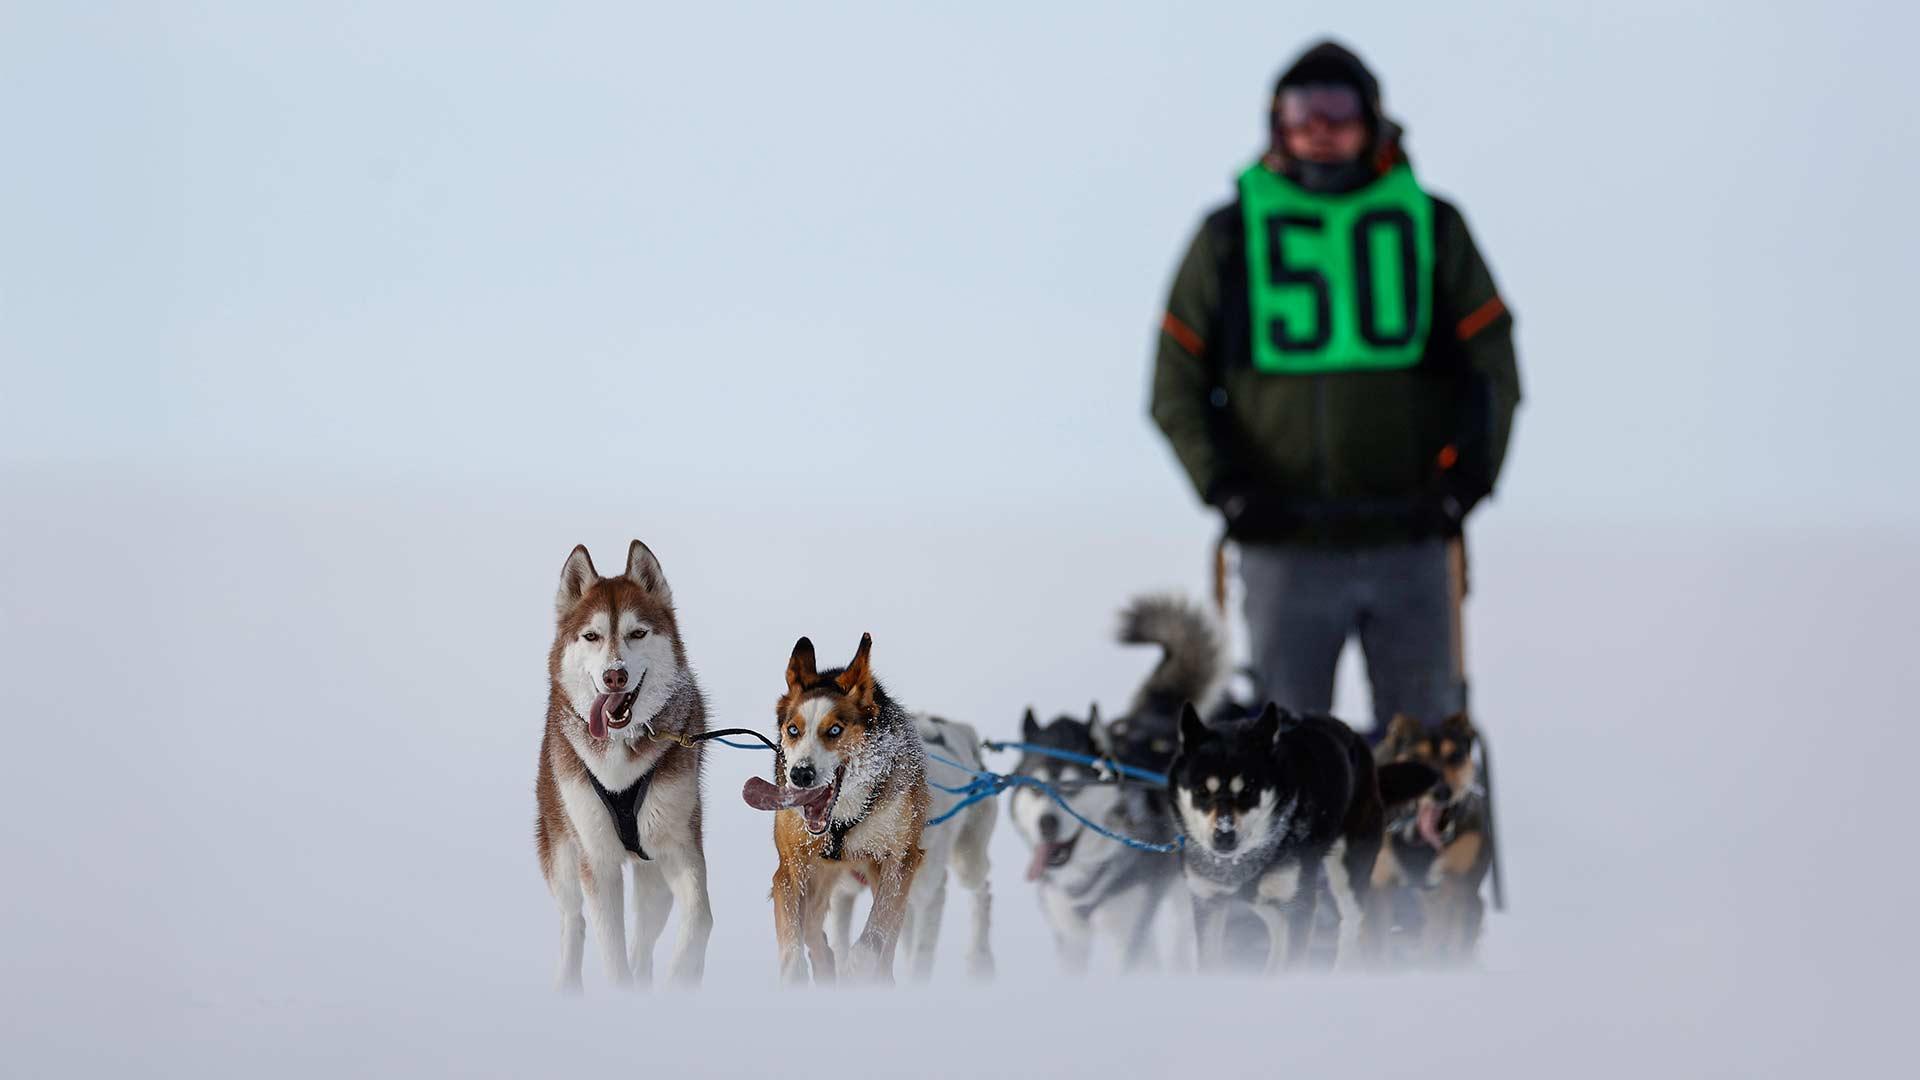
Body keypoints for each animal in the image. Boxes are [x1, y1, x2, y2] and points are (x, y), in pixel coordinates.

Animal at [741, 630, 929, 983]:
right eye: (793, 730)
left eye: (835, 730)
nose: (800, 774)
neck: (843, 818)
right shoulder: (790, 868)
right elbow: (794, 937)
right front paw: (798, 973)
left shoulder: (901, 859)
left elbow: (878, 929)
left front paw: (860, 963)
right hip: (818, 874)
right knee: (813, 924)